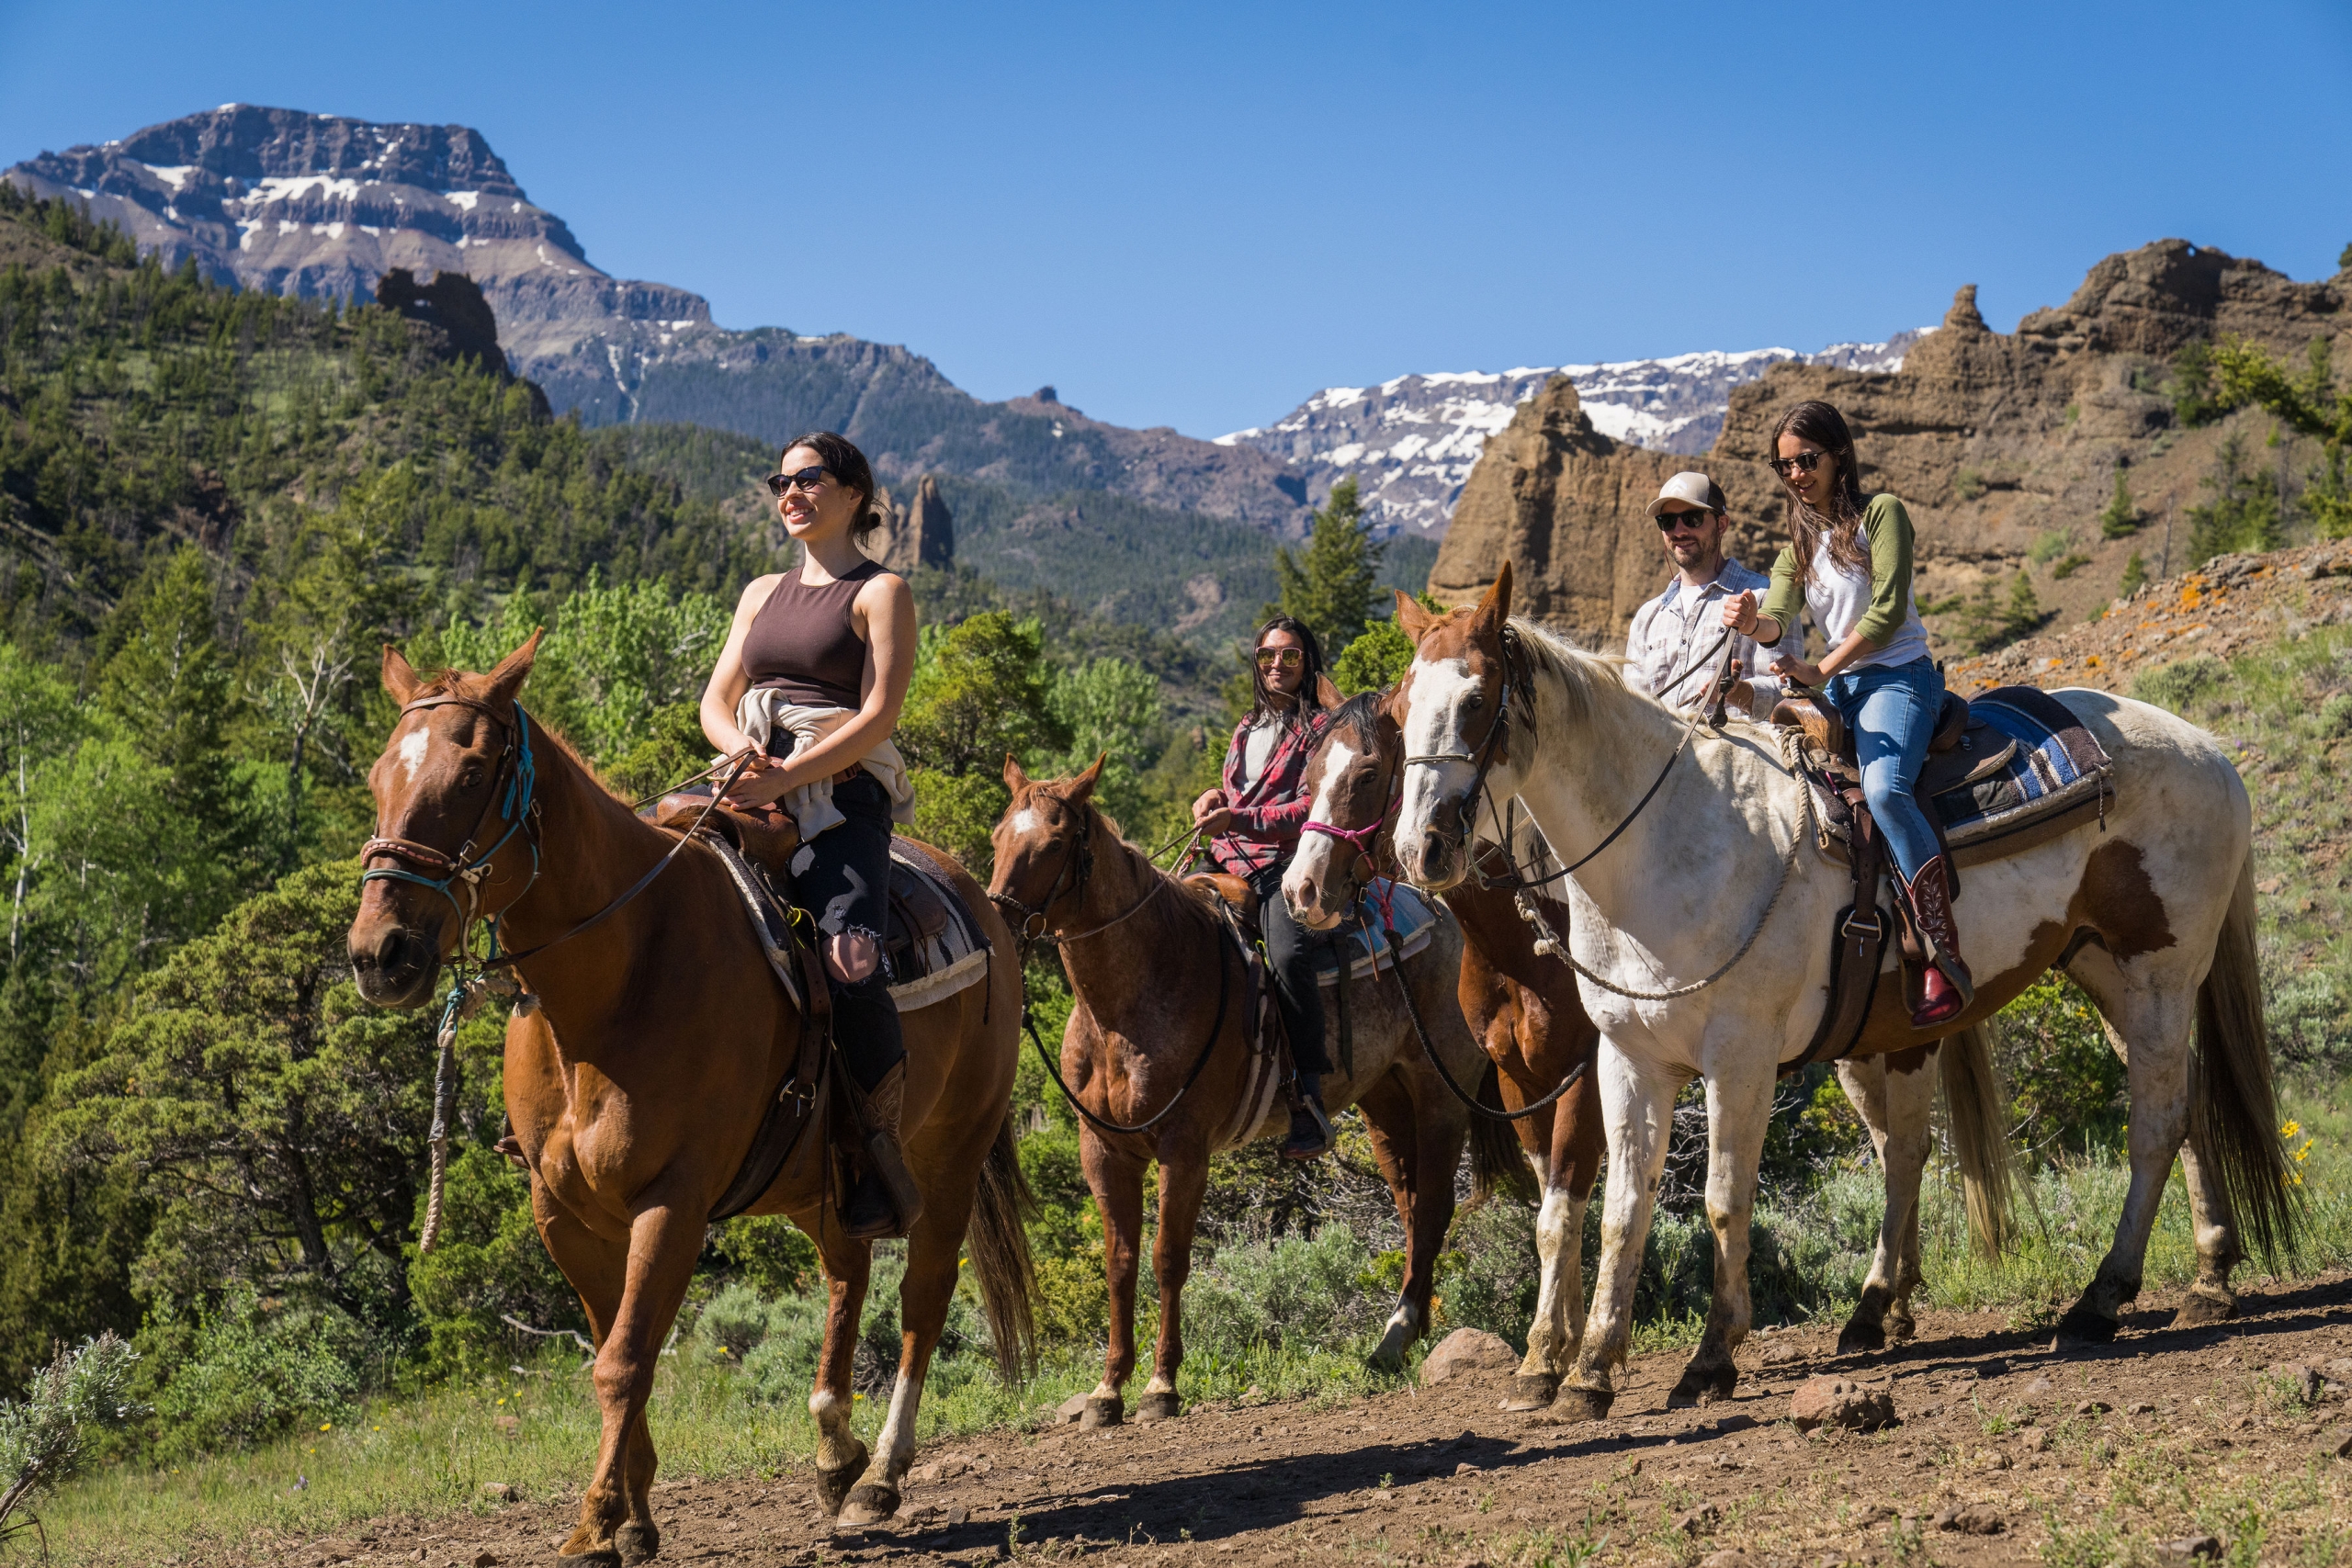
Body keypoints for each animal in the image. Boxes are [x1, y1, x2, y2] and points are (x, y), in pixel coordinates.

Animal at [350, 639, 1039, 1561]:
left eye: (470, 775)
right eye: (377, 776)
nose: (379, 954)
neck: (614, 979)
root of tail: (982, 901)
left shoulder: (670, 1203)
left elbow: (624, 1359)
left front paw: (597, 1519)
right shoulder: (564, 1215)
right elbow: (617, 1354)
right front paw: (636, 1519)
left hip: (950, 1156)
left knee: (921, 1299)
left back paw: (882, 1476)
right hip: (821, 1179)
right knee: (846, 1273)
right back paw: (835, 1450)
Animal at [983, 751, 1514, 1419]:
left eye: (1054, 842)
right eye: (999, 836)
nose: (998, 924)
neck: (1133, 994)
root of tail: (1444, 914)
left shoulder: (1184, 1150)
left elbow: (1168, 1258)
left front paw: (1161, 1384)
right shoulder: (1103, 1151)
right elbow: (1120, 1262)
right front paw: (1108, 1388)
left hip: (1439, 1093)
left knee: (1438, 1204)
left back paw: (1395, 1338)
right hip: (1386, 1102)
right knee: (1414, 1208)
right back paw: (1407, 1330)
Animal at [1279, 691, 2013, 1401]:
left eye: (1369, 774)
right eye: (1307, 778)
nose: (1301, 890)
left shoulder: (1584, 1078)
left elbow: (1569, 1207)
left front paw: (1560, 1353)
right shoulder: (1523, 1086)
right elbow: (1558, 1210)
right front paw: (1565, 1344)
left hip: (1905, 1042)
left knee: (1908, 1149)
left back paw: (1874, 1306)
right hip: (1859, 1048)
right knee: (1895, 1147)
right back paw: (1892, 1306)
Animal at [1383, 564, 2286, 1419]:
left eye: (1476, 698)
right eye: (1399, 710)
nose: (1421, 847)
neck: (1665, 842)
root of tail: (2206, 747)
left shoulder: (1739, 1057)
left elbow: (1722, 1201)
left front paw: (1711, 1359)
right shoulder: (1628, 1059)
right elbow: (1621, 1209)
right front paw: (1589, 1373)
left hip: (2159, 974)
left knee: (2155, 1122)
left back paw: (2102, 1297)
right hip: (2102, 974)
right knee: (2174, 1104)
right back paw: (2206, 1274)